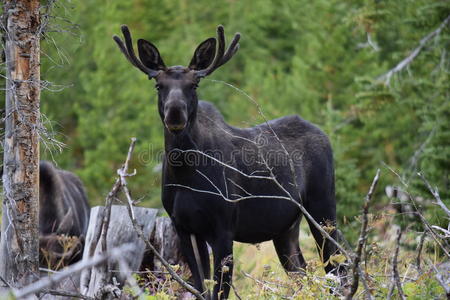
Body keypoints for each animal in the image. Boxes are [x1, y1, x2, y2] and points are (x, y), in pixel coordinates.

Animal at [114, 25, 342, 298]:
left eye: (194, 84)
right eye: (159, 85)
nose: (175, 113)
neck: (185, 173)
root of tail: (324, 135)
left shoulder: (223, 228)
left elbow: (220, 290)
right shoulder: (183, 228)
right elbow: (201, 287)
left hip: (323, 206)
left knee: (338, 265)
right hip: (286, 228)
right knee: (303, 274)